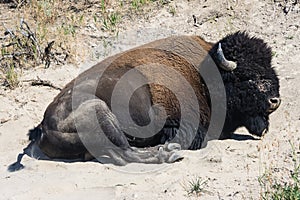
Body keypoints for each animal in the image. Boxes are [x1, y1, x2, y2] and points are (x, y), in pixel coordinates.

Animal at [9, 30, 282, 169]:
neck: (205, 73)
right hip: (99, 112)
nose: (275, 101)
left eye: (269, 66)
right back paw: (169, 154)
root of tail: (42, 126)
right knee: (124, 153)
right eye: (246, 76)